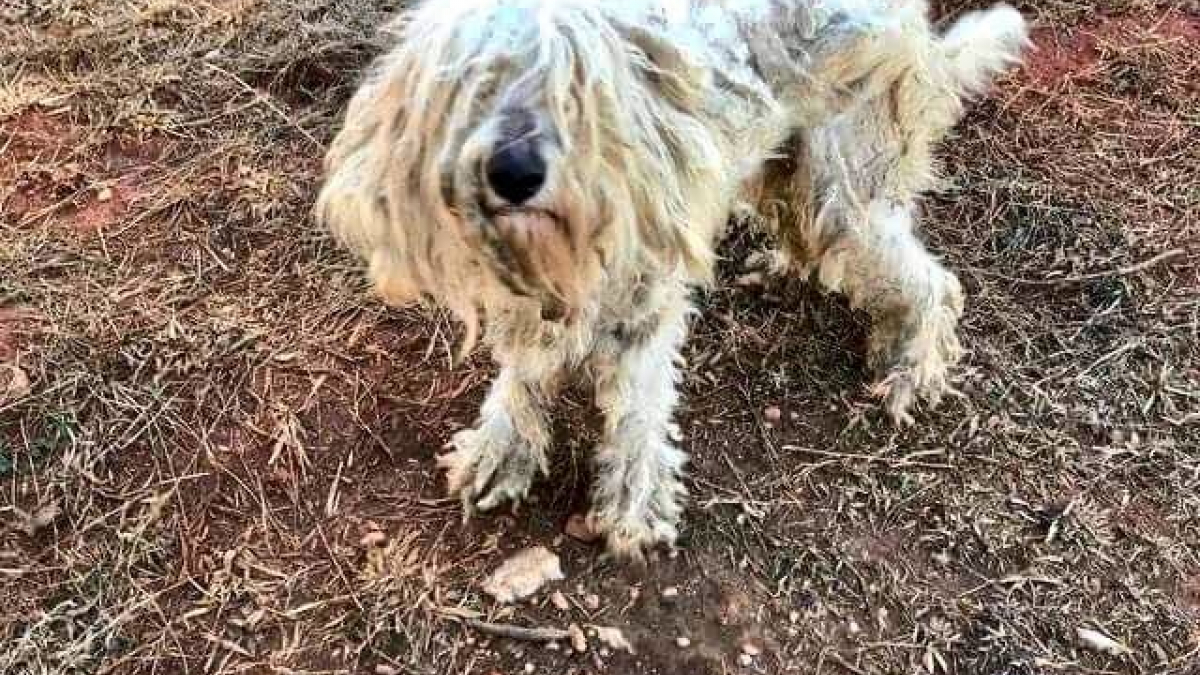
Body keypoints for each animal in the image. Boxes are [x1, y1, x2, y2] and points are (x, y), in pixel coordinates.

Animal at [321, 0, 1032, 557]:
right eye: (479, 81)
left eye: (573, 89)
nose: (514, 172)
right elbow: (525, 376)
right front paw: (506, 447)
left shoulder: (646, 302)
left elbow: (639, 409)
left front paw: (635, 504)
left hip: (844, 190)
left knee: (932, 283)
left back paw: (913, 362)